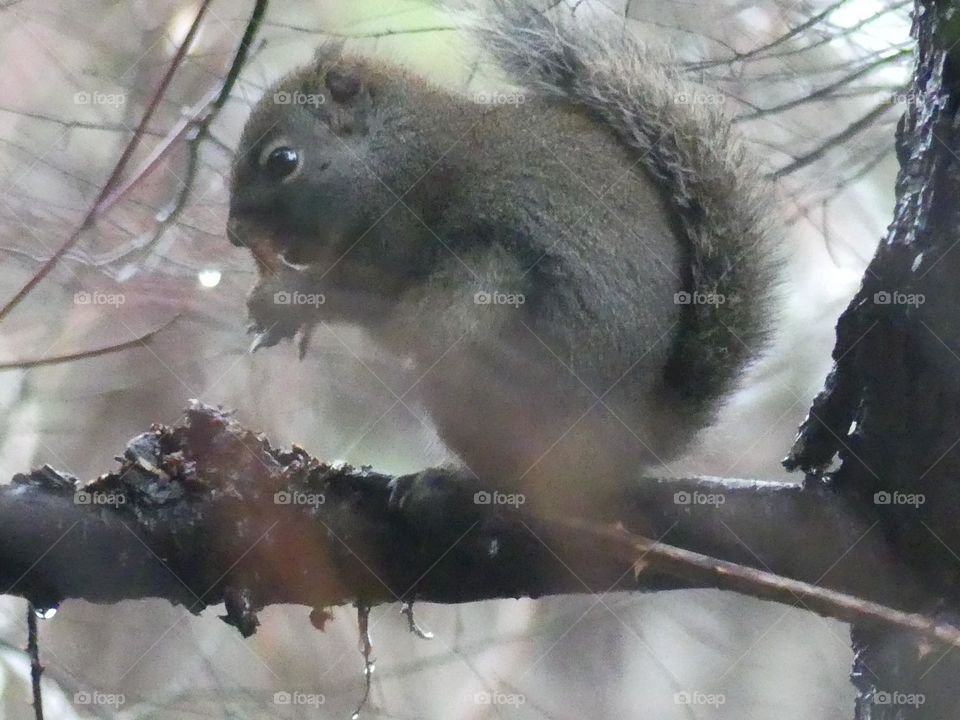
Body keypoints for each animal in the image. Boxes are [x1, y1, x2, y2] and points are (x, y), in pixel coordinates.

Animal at [227, 3, 779, 511]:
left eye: (282, 160)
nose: (234, 234)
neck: (392, 154)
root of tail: (630, 441)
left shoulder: (398, 236)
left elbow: (362, 295)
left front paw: (284, 297)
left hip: (480, 322)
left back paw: (453, 480)